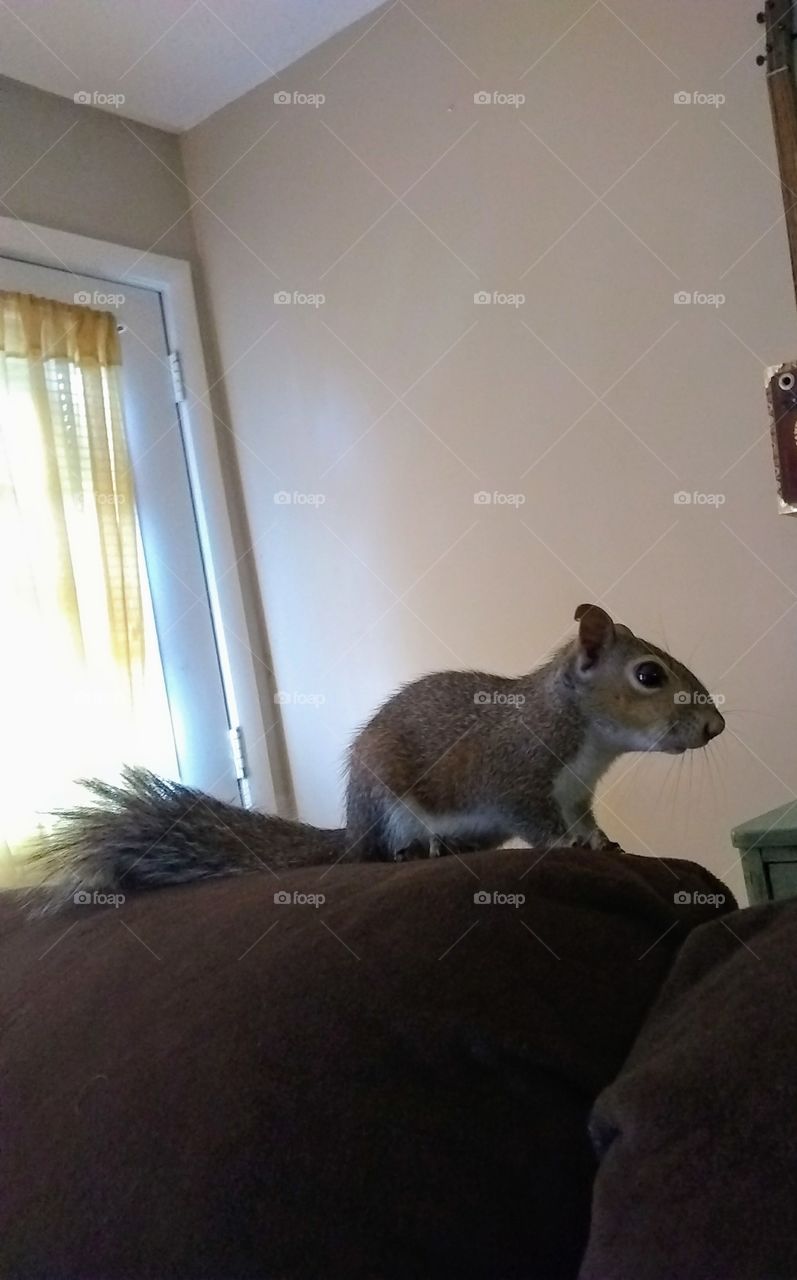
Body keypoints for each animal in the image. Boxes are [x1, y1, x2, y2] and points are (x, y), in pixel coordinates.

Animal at [30, 604, 724, 907]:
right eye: (649, 676)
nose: (715, 725)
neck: (585, 737)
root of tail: (354, 825)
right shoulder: (515, 776)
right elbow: (538, 823)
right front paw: (569, 847)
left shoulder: (576, 791)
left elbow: (585, 821)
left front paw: (602, 843)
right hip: (392, 807)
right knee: (387, 850)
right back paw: (420, 849)